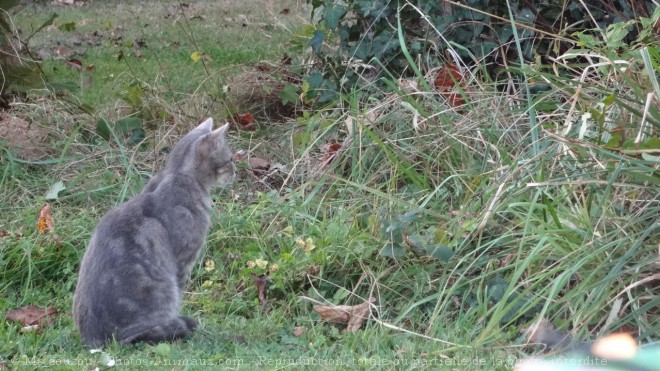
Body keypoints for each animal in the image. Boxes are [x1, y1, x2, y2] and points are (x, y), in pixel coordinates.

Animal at [73, 117, 235, 348]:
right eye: (230, 158)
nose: (235, 169)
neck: (178, 175)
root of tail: (95, 340)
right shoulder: (184, 260)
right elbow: (180, 291)